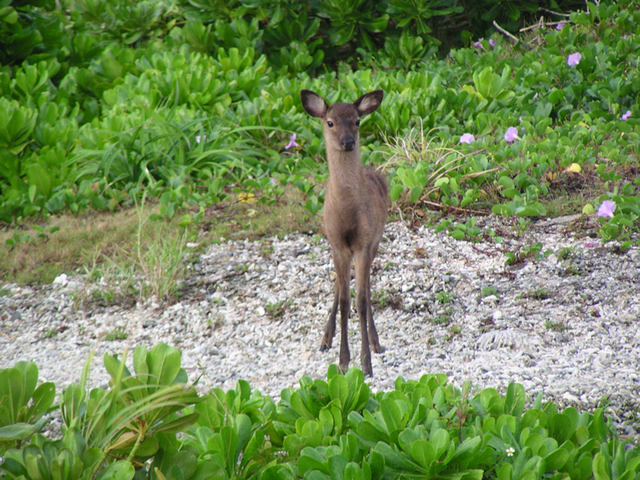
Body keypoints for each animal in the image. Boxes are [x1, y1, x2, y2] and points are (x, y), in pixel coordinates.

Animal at [302, 88, 388, 376]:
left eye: (357, 121)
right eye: (330, 122)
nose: (348, 142)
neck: (347, 210)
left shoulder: (363, 242)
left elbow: (360, 300)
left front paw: (365, 363)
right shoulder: (338, 243)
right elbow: (343, 300)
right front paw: (342, 361)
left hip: (376, 239)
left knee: (366, 289)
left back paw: (375, 341)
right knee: (339, 287)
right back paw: (325, 338)